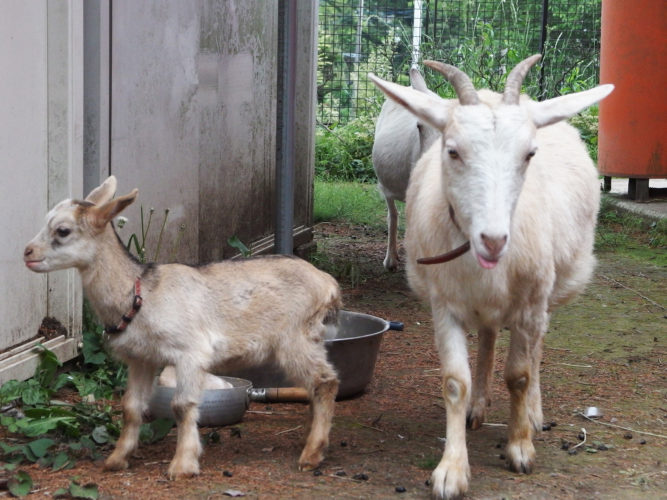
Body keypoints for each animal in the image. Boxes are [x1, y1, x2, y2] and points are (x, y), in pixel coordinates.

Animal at [24, 176, 342, 476]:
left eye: (62, 231)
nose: (27, 252)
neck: (140, 293)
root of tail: (327, 283)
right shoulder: (141, 360)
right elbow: (131, 407)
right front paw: (116, 459)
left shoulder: (191, 353)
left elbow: (182, 405)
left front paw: (183, 464)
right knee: (316, 385)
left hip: (297, 337)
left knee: (325, 382)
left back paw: (312, 455)